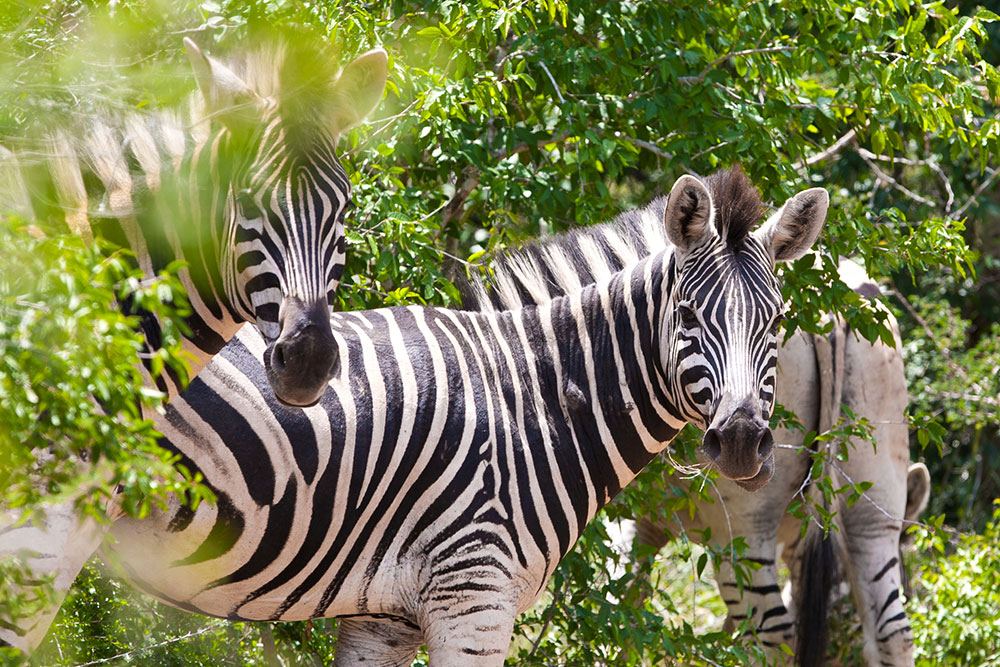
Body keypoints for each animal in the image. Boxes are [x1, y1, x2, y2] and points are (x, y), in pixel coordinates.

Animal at [0, 171, 828, 661]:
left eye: (778, 321)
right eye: (688, 316)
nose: (743, 441)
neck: (534, 395)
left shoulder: (384, 611)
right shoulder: (474, 599)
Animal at [460, 177, 929, 666]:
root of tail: (832, 312)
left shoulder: (629, 523)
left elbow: (618, 606)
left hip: (741, 526)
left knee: (772, 633)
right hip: (873, 495)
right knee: (891, 630)